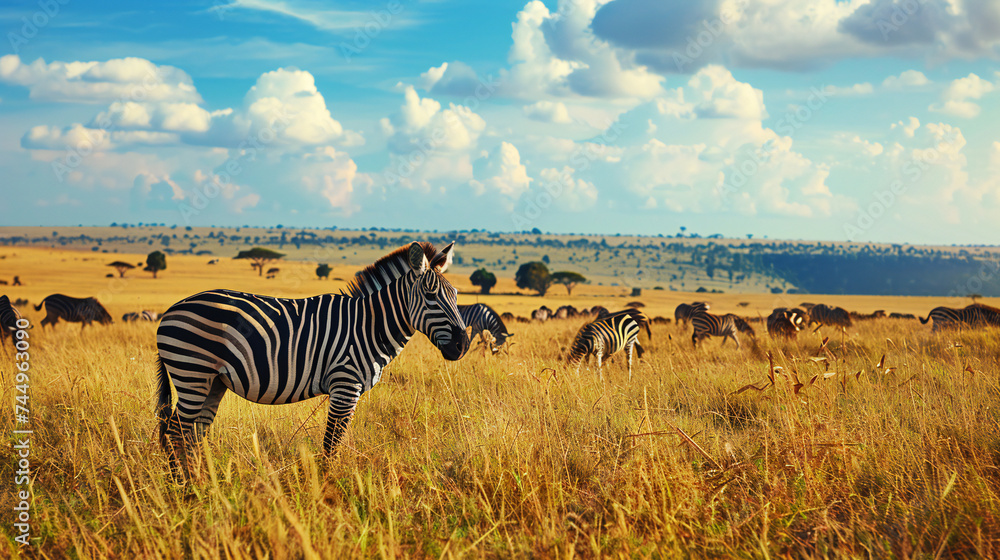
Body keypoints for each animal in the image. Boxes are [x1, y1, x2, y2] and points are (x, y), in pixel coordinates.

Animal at [155, 242, 470, 474]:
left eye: (456, 295)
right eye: (430, 296)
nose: (462, 345)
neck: (368, 326)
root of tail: (171, 310)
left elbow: (334, 444)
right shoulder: (345, 386)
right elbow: (331, 445)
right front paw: (329, 493)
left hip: (213, 381)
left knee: (193, 435)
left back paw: (203, 484)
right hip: (192, 373)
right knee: (175, 433)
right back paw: (183, 488)